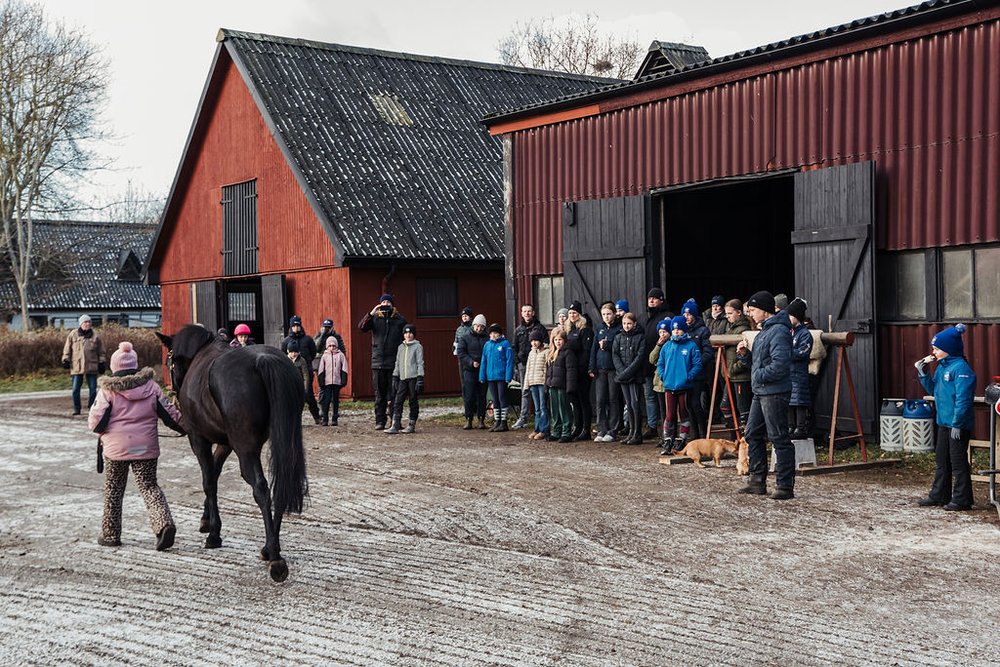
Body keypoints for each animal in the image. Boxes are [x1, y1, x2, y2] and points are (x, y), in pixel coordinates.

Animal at [152, 326, 306, 580]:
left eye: (169, 361)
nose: (173, 391)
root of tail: (264, 360)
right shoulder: (226, 443)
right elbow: (214, 474)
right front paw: (206, 520)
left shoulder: (198, 439)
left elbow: (208, 480)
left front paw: (213, 533)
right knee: (280, 488)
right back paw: (270, 546)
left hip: (245, 450)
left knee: (261, 489)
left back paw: (274, 556)